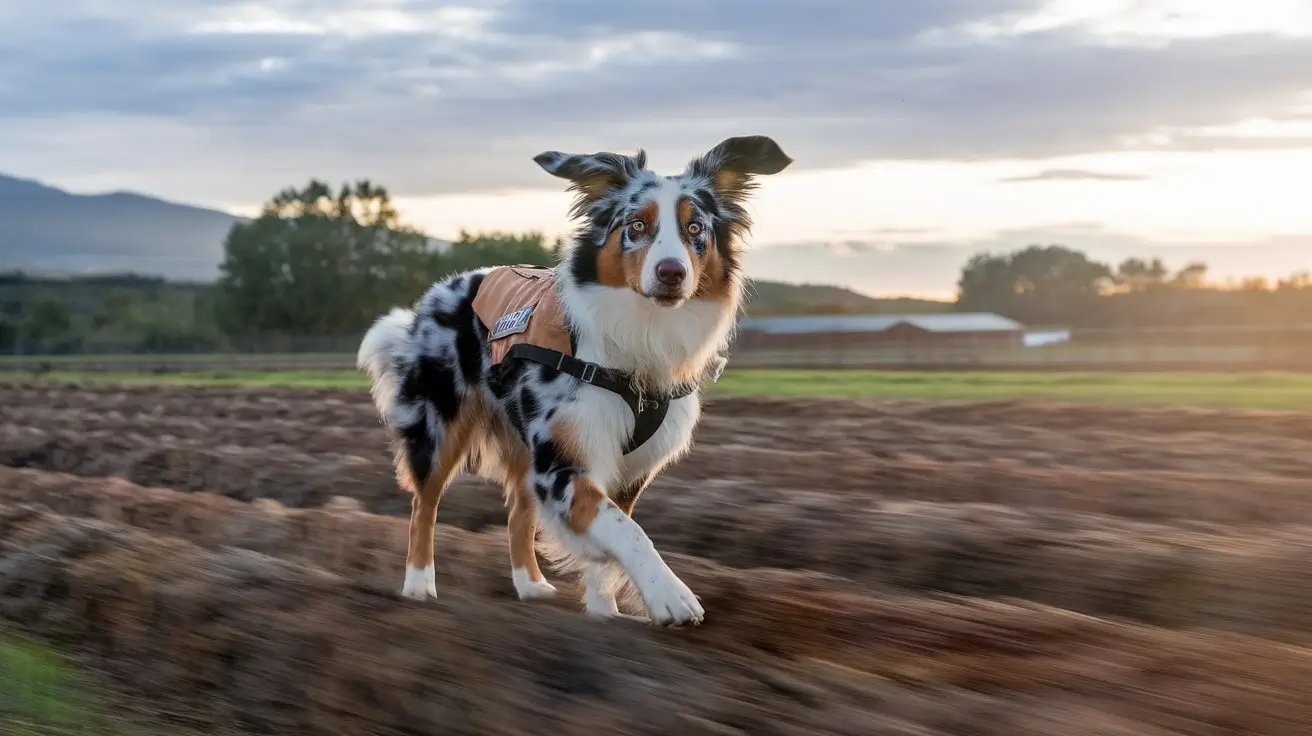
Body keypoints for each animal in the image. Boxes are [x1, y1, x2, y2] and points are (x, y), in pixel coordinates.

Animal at [356, 135, 787, 621]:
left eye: (695, 228)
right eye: (637, 225)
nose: (672, 272)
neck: (642, 334)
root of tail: (438, 291)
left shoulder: (626, 470)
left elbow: (614, 535)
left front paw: (605, 614)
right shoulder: (564, 461)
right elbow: (629, 532)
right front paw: (669, 596)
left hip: (522, 445)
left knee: (517, 514)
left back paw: (531, 586)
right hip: (438, 424)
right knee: (423, 503)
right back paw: (418, 588)